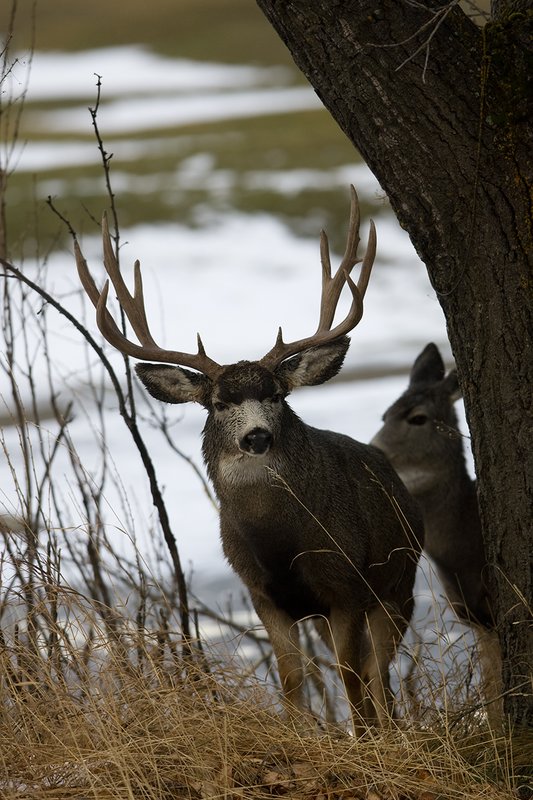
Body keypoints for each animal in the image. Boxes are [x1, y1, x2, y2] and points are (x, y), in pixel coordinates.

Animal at [74, 186, 423, 732]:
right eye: (220, 403)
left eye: (277, 395)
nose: (257, 436)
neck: (277, 541)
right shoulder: (264, 595)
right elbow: (291, 680)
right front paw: (305, 734)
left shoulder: (344, 584)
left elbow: (351, 676)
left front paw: (362, 739)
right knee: (369, 670)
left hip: (399, 580)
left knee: (375, 670)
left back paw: (384, 727)